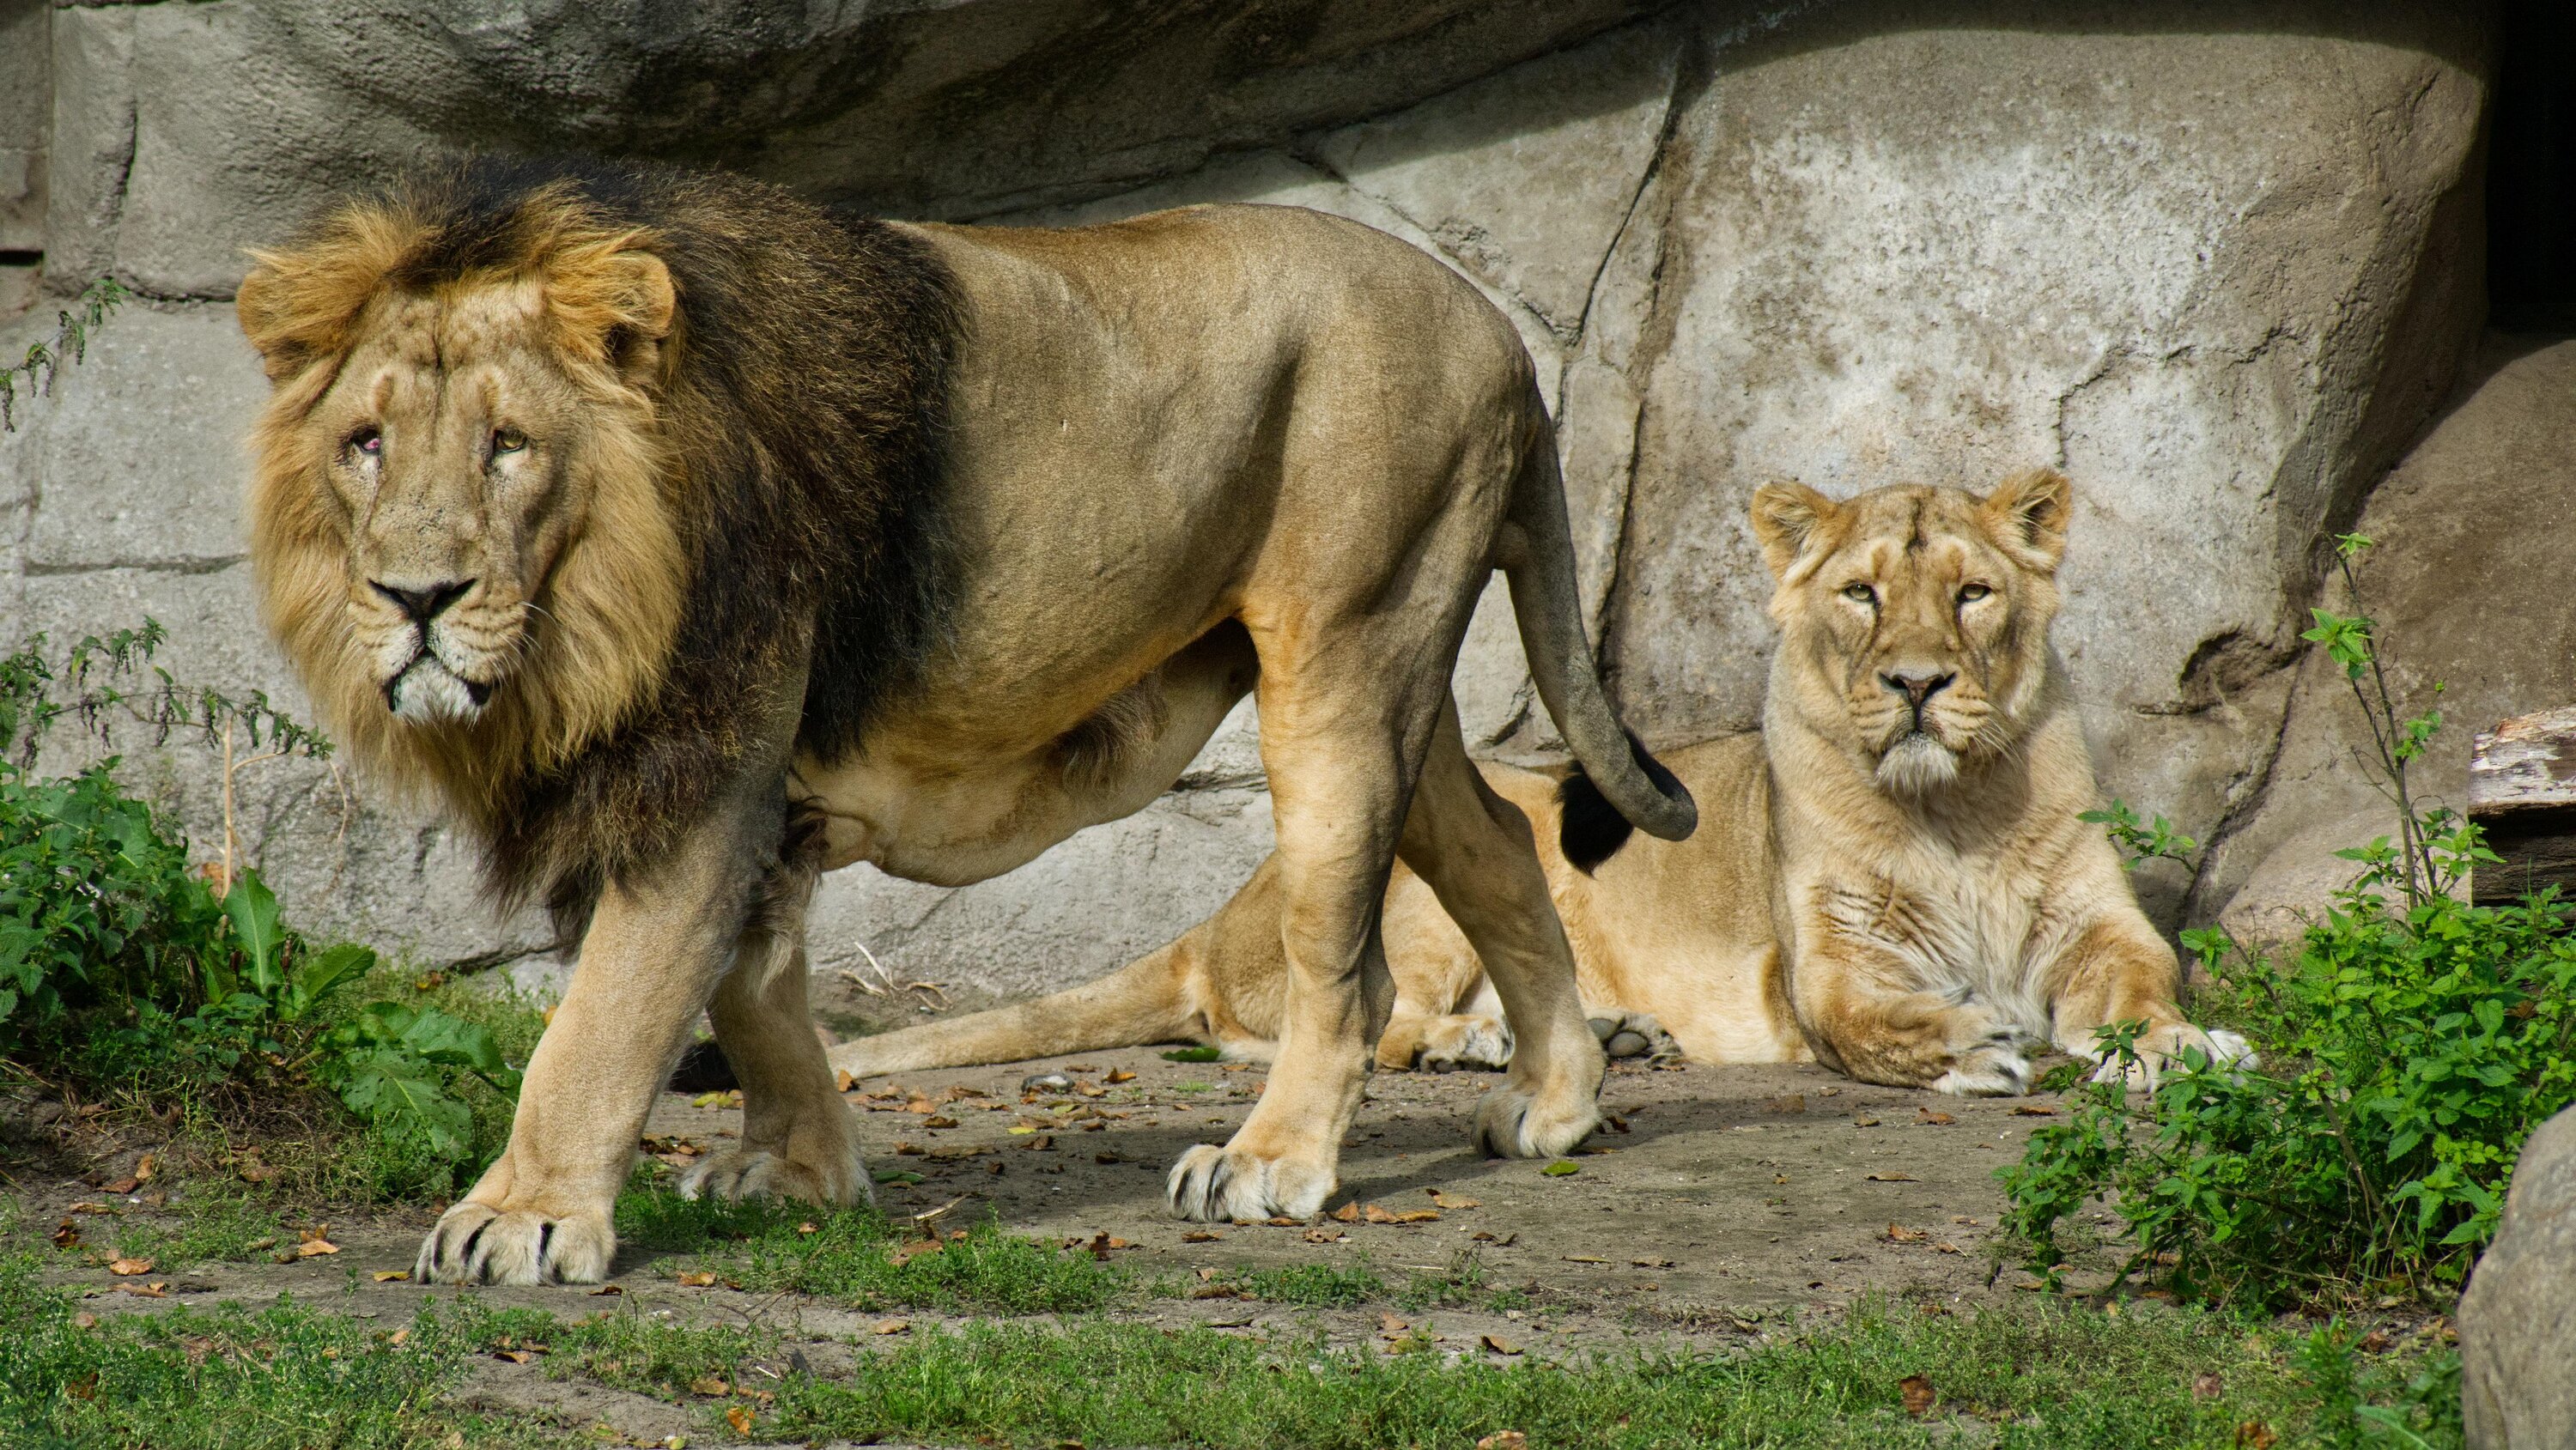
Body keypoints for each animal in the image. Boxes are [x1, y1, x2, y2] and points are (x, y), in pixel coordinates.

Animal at [236, 156, 1695, 1285]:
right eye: (367, 442)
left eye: (509, 445)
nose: (415, 596)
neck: (590, 615)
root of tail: (1502, 335)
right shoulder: (747, 790)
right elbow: (754, 988)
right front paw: (802, 1172)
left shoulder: (708, 762)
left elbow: (605, 1015)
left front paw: (521, 1219)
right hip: (1395, 669)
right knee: (1497, 841)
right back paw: (1557, 1102)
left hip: (1345, 650)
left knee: (1350, 961)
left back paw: (1272, 1165)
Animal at [834, 470, 2249, 1095]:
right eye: (1861, 593)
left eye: (1970, 594)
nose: (1914, 683)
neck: (1950, 806)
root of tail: (1209, 919)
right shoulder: (1829, 964)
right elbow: (1881, 1022)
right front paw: (1974, 1044)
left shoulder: (2101, 926)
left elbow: (2144, 988)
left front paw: (2186, 1048)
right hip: (1423, 850)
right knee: (1347, 1020)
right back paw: (1485, 1044)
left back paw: (1606, 1032)